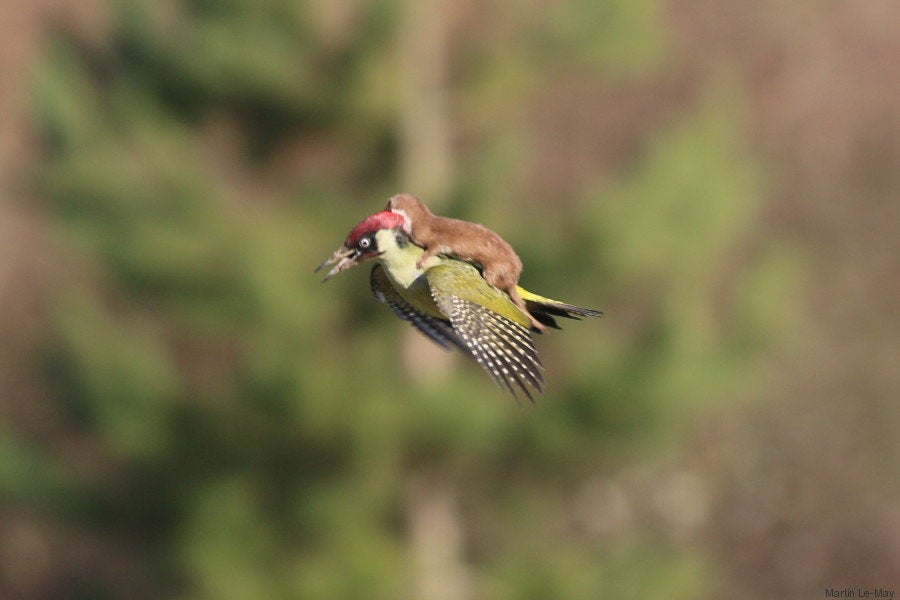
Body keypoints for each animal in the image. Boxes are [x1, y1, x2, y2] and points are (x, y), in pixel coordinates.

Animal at [384, 193, 544, 330]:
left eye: (387, 205)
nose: (383, 209)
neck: (418, 223)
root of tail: (515, 276)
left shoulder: (432, 238)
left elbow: (433, 248)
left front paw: (421, 261)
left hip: (495, 270)